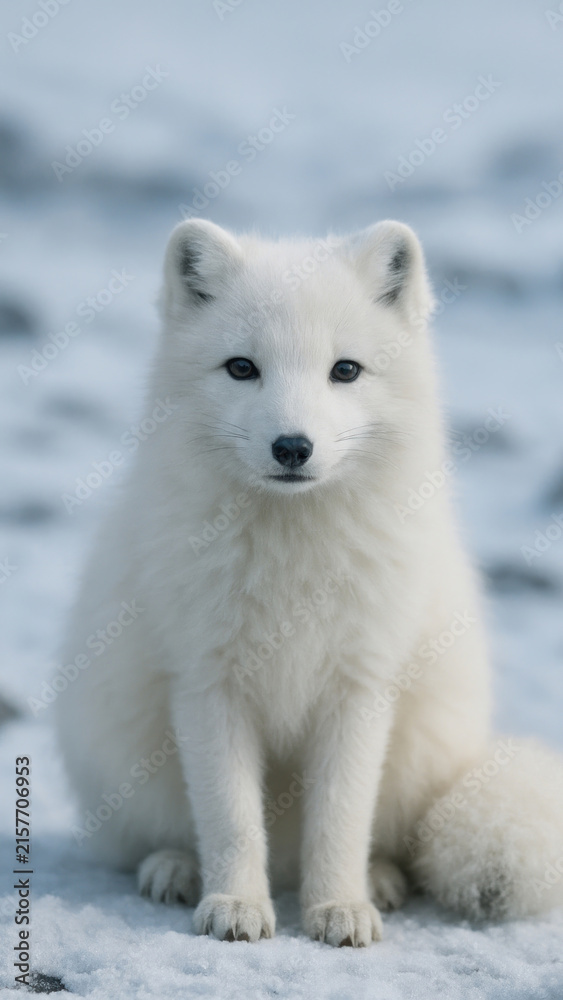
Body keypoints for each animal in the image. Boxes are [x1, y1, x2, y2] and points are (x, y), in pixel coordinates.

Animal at [55, 218, 563, 946]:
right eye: (242, 367)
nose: (292, 447)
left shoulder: (360, 685)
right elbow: (230, 817)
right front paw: (236, 905)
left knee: (380, 836)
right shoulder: (208, 682)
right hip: (124, 754)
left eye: (344, 370)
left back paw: (377, 880)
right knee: (169, 832)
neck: (292, 556)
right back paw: (176, 869)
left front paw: (339, 908)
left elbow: (342, 818)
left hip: (420, 751)